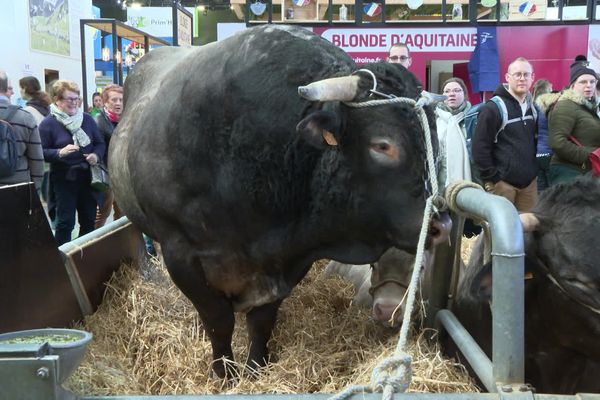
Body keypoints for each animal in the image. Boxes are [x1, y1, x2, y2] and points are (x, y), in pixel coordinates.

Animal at [110, 25, 450, 378]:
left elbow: (262, 320)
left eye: (434, 137)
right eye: (383, 145)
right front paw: (224, 372)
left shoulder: (288, 259)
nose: (442, 224)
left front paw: (256, 367)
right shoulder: (181, 253)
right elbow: (218, 318)